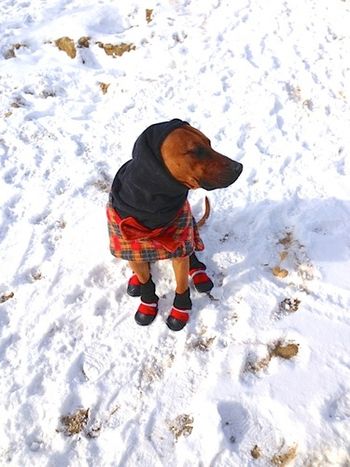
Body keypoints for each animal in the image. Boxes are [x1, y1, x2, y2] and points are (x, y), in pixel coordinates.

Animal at [107, 120, 243, 332]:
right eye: (195, 151)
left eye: (209, 143)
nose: (239, 167)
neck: (152, 208)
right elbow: (146, 281)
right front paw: (148, 303)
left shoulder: (180, 251)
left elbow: (181, 284)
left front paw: (180, 310)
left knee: (193, 255)